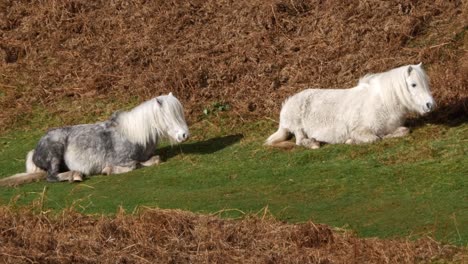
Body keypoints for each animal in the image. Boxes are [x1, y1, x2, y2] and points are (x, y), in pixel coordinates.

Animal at [1, 92, 190, 186]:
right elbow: (133, 164)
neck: (133, 135)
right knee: (52, 176)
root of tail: (35, 150)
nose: (184, 135)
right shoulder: (123, 160)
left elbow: (155, 159)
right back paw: (75, 175)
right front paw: (108, 170)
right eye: (168, 115)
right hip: (55, 150)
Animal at [266, 63, 436, 147]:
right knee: (300, 140)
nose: (430, 105)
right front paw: (351, 141)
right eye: (413, 84)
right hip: (297, 126)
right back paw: (314, 143)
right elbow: (374, 139)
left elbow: (403, 131)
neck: (384, 104)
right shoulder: (360, 130)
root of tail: (288, 103)